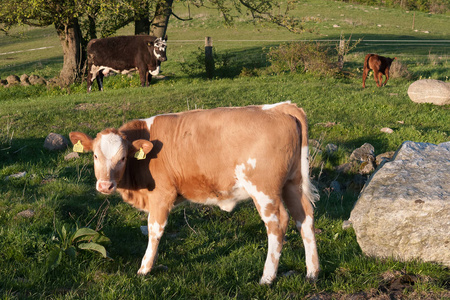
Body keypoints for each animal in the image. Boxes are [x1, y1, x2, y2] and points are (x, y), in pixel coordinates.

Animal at [68, 101, 318, 284]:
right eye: (95, 156)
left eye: (122, 158)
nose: (105, 186)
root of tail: (278, 107)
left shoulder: (162, 195)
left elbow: (154, 230)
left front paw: (145, 268)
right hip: (292, 183)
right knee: (304, 217)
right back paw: (312, 272)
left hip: (264, 189)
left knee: (277, 223)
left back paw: (267, 277)